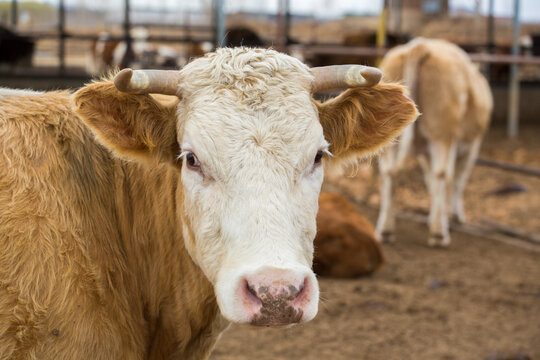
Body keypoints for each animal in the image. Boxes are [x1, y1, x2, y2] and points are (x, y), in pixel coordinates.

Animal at [376, 38, 494, 248]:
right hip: (442, 134)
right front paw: (454, 215)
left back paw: (385, 230)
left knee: (388, 173)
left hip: (391, 139)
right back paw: (439, 233)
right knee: (442, 173)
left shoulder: (425, 152)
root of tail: (420, 45)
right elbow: (457, 180)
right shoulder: (471, 148)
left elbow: (430, 179)